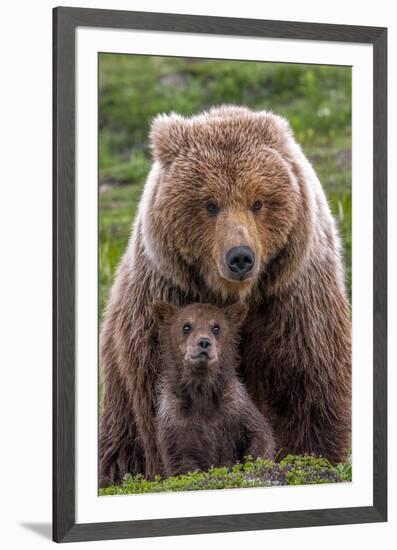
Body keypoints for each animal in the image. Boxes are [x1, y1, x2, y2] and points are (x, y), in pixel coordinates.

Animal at [98, 104, 350, 488]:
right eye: (210, 204)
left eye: (258, 201)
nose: (241, 257)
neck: (234, 295)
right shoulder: (166, 295)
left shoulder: (293, 299)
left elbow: (309, 382)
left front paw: (313, 457)